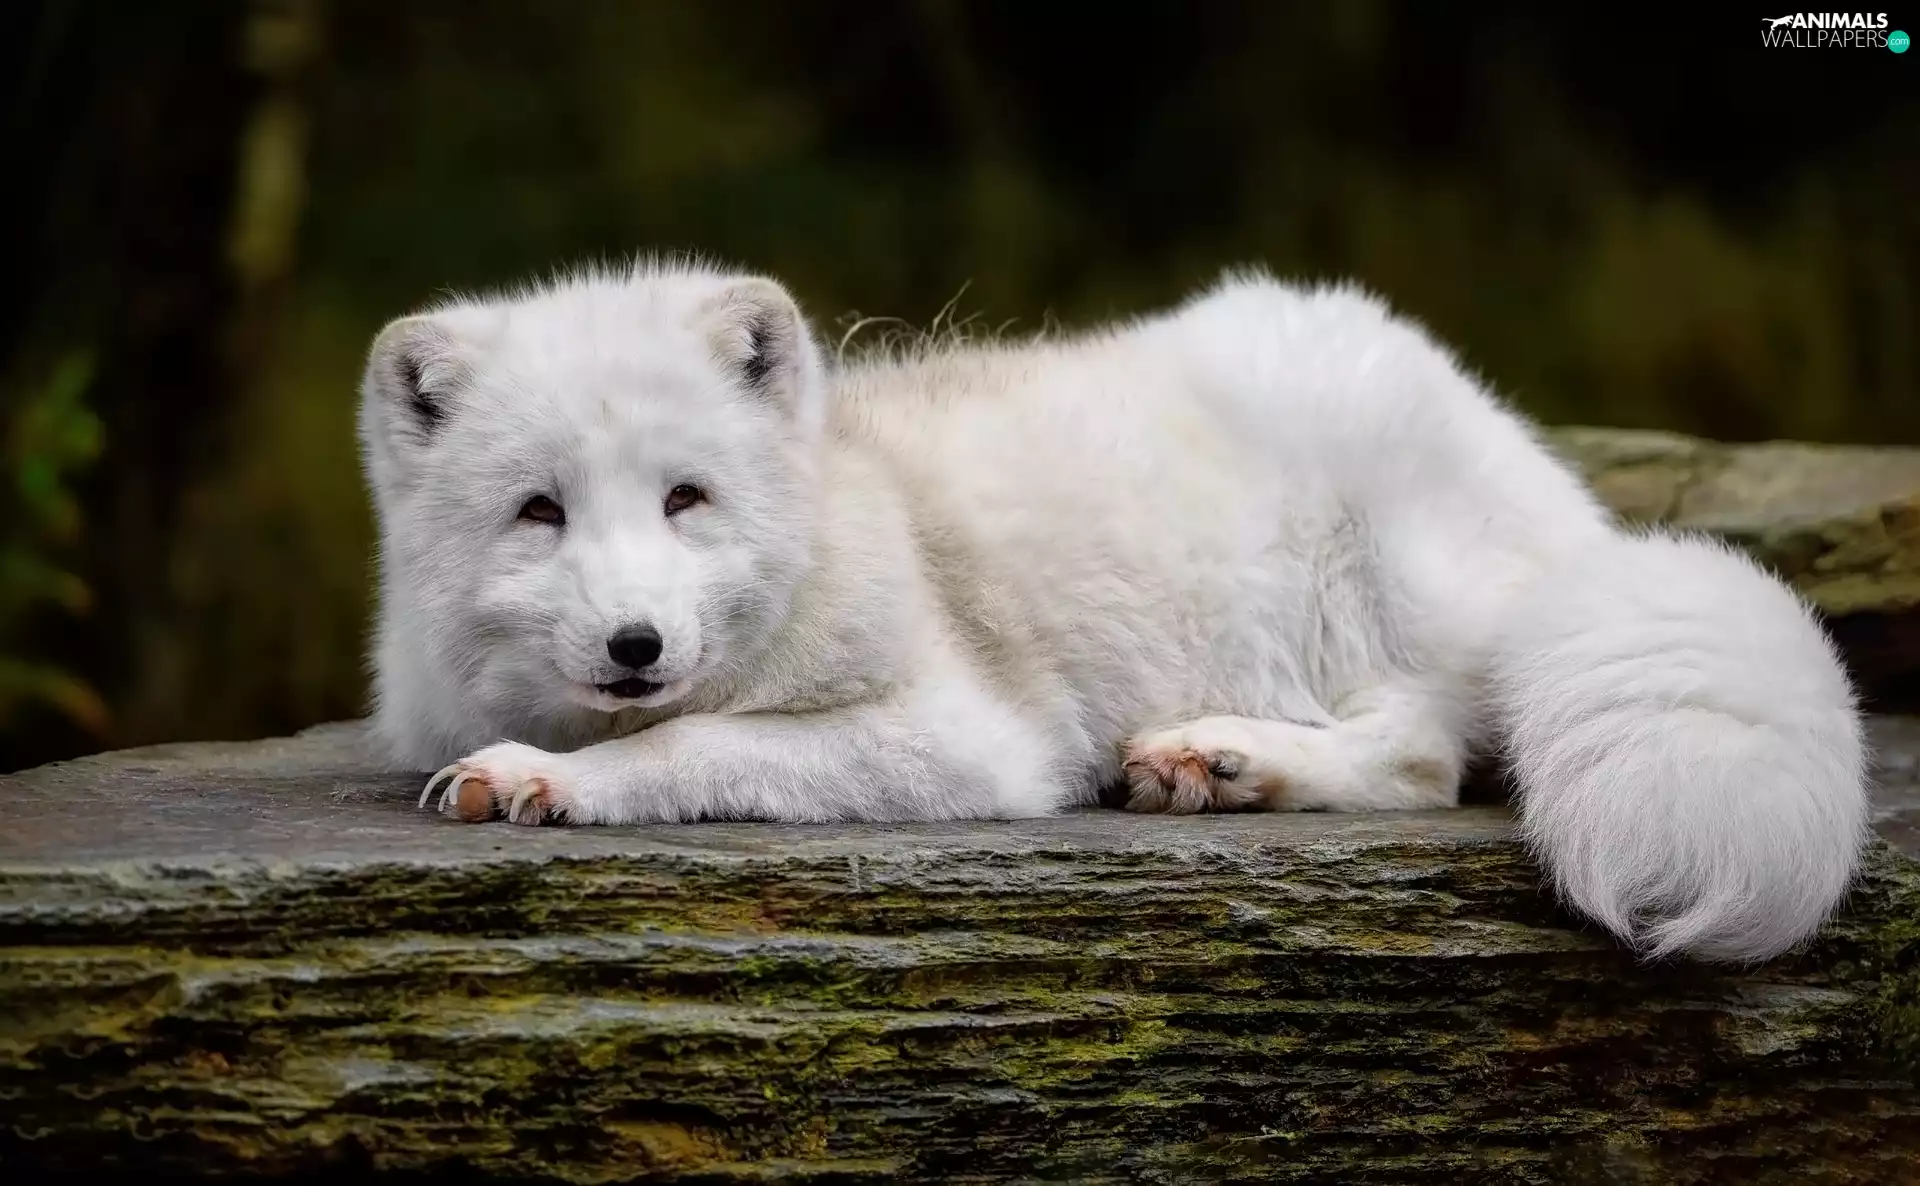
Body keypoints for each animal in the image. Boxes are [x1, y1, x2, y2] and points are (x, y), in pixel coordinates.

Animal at [358, 257, 1868, 964]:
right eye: (539, 511)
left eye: (686, 498)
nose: (636, 644)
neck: (857, 494)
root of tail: (1561, 499)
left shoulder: (969, 738)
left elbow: (691, 744)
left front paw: (548, 778)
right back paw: (1220, 764)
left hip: (1379, 569)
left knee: (1426, 756)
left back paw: (1226, 754)